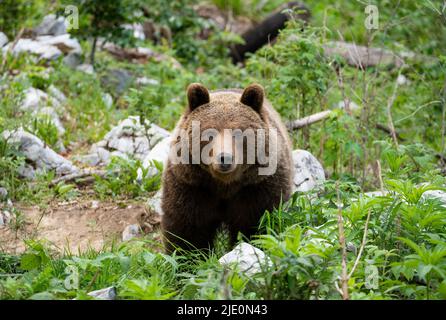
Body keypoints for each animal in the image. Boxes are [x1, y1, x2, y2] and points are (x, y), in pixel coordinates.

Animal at [160, 82, 292, 252]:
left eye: (239, 133)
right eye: (209, 134)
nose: (225, 158)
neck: (224, 185)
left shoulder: (258, 185)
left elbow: (259, 222)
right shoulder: (191, 185)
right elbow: (187, 229)